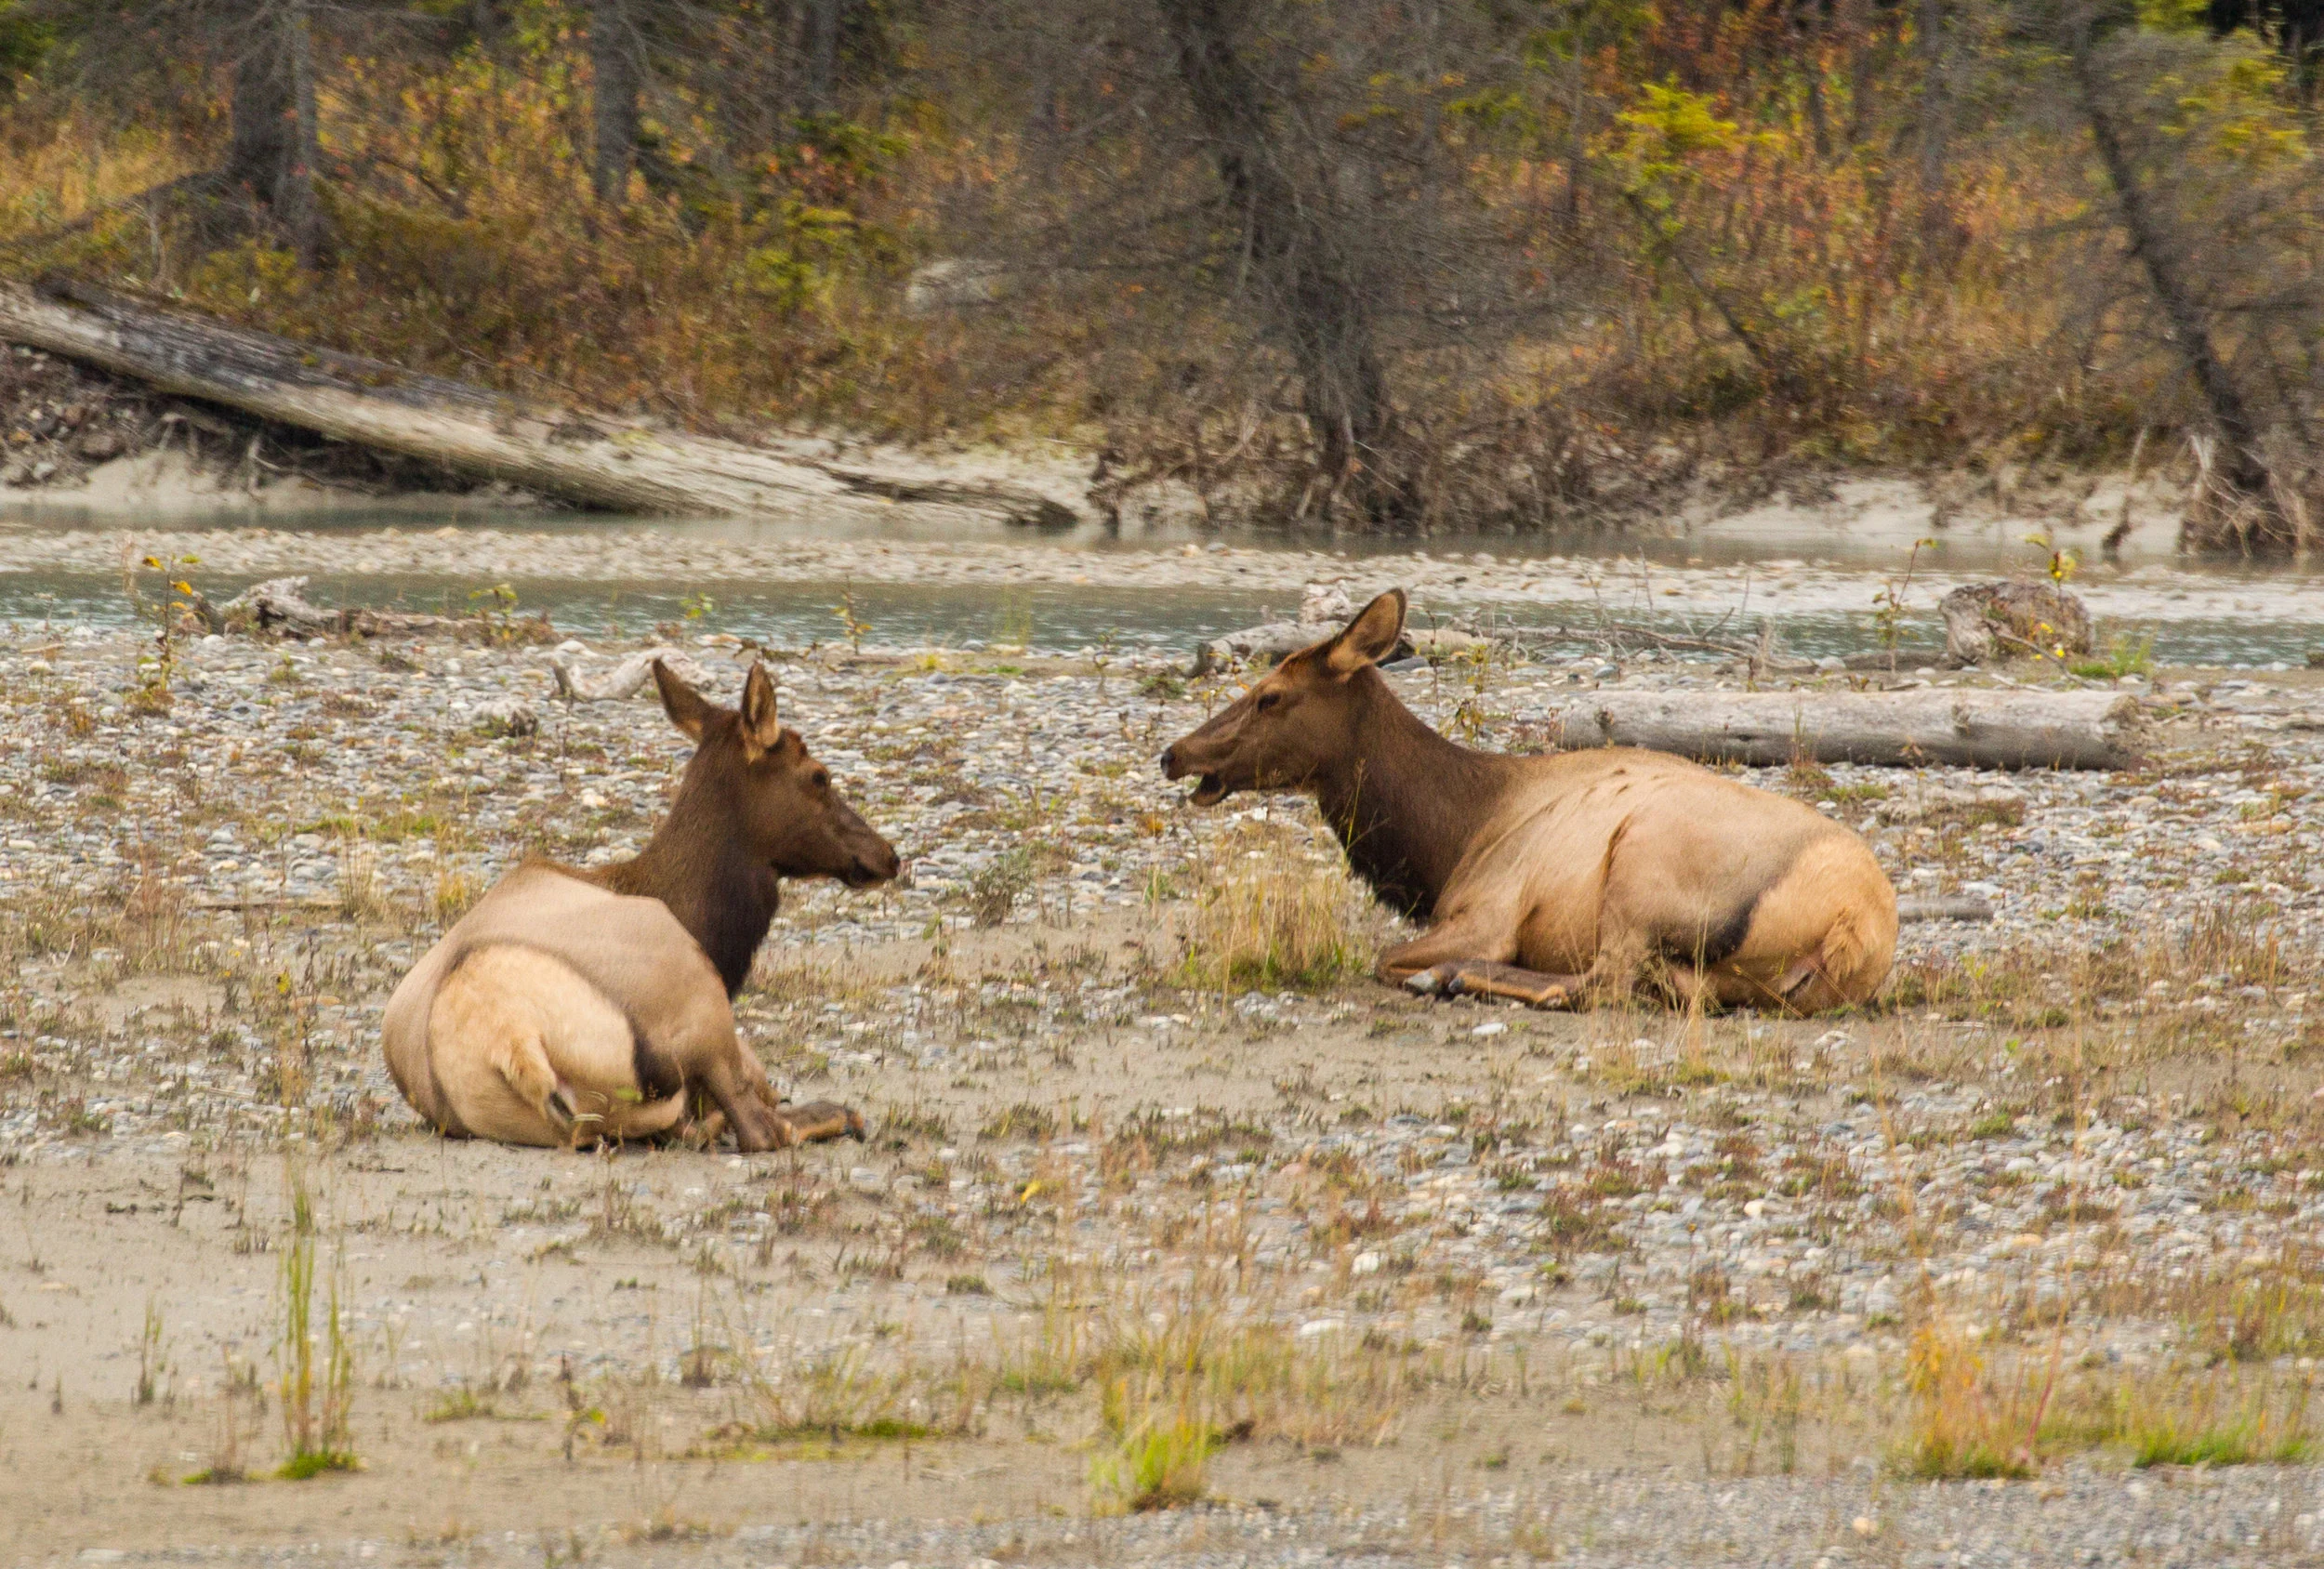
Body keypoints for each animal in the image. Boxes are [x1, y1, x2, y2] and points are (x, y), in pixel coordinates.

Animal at [1160, 590, 1896, 1014]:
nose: (1174, 753)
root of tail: (1853, 924)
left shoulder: (1489, 909)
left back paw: (1455, 977)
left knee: (1604, 982)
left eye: (1270, 696)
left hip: (1645, 863)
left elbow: (1386, 958)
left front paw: (1438, 972)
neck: (1449, 839)